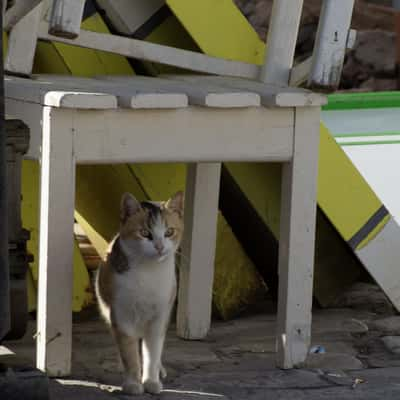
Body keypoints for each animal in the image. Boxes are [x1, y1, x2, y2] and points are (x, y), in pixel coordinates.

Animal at [95, 192, 184, 396]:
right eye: (144, 233)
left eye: (169, 232)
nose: (159, 246)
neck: (148, 272)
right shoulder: (122, 316)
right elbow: (129, 354)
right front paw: (133, 384)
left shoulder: (159, 316)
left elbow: (152, 352)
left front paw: (151, 381)